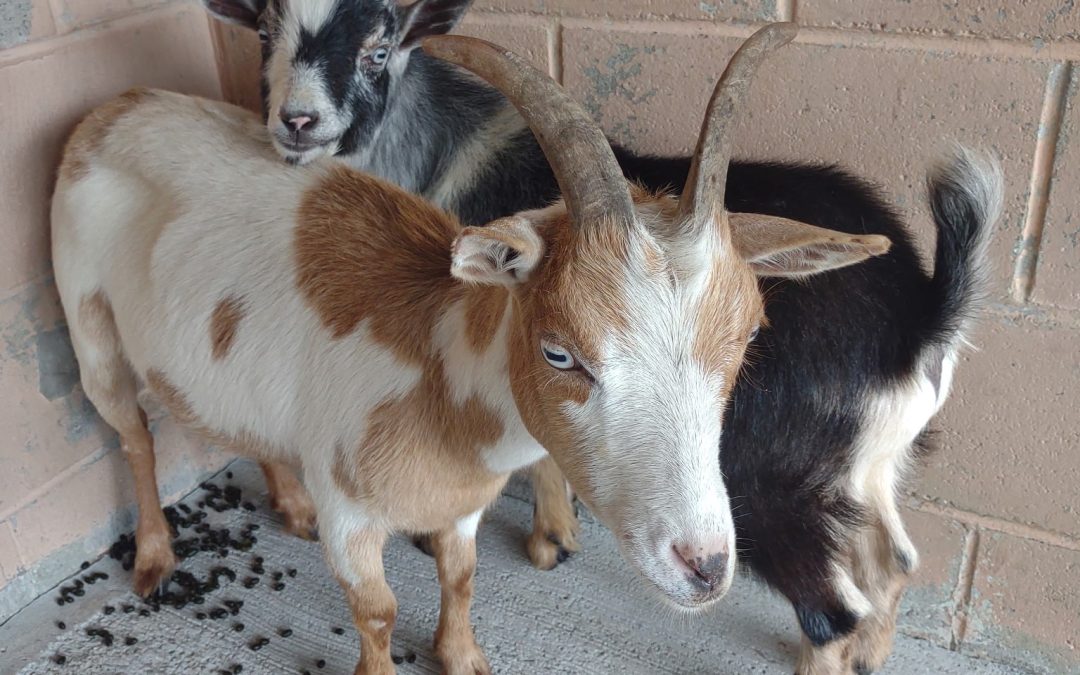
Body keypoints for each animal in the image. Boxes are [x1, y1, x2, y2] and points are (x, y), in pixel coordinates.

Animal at [52, 27, 887, 674]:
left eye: (748, 336)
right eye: (559, 353)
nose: (705, 566)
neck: (435, 378)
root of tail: (116, 105)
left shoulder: (461, 506)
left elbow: (461, 575)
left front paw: (461, 655)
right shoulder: (351, 516)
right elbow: (378, 610)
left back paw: (286, 504)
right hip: (88, 324)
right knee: (132, 435)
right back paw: (154, 558)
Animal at [201, 2, 1002, 672]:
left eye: (379, 48)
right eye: (266, 31)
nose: (295, 123)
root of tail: (922, 314)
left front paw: (530, 538)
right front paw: (555, 537)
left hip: (774, 487)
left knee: (833, 610)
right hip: (871, 468)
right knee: (894, 562)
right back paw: (875, 652)